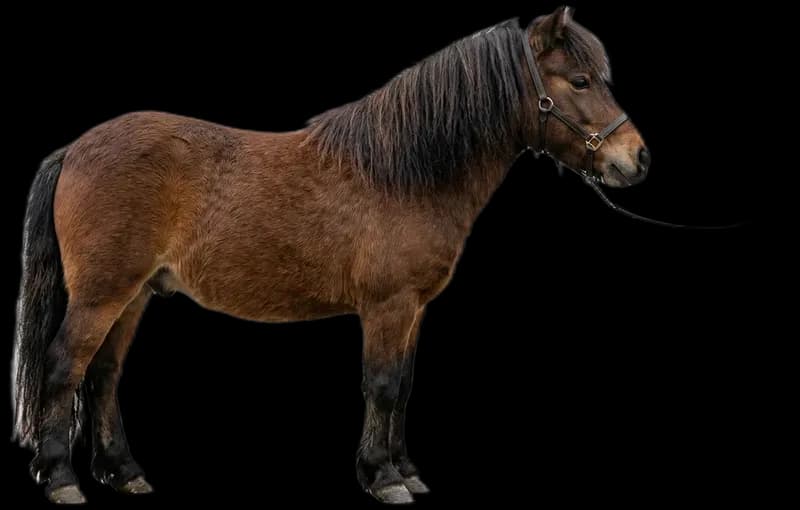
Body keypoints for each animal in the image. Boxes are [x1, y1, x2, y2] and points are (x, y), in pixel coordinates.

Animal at [12, 7, 649, 505]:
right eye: (580, 81)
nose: (637, 158)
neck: (405, 172)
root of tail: (75, 149)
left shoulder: (415, 310)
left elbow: (406, 385)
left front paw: (406, 470)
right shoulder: (388, 307)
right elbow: (383, 384)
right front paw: (384, 478)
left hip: (136, 294)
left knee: (103, 375)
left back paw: (123, 473)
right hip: (102, 294)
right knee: (64, 366)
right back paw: (62, 479)